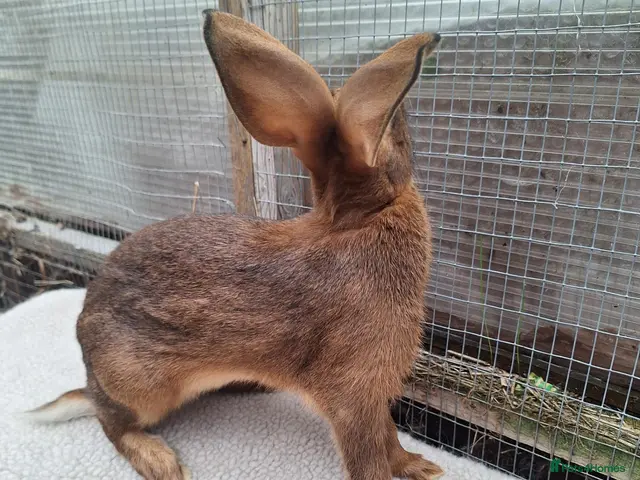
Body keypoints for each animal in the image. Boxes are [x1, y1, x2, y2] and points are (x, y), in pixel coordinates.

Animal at [26, 10, 443, 480]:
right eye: (400, 137)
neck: (359, 221)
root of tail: (90, 375)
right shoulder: (353, 396)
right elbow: (369, 454)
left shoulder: (373, 397)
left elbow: (390, 441)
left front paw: (420, 466)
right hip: (142, 387)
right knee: (112, 423)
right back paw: (160, 460)